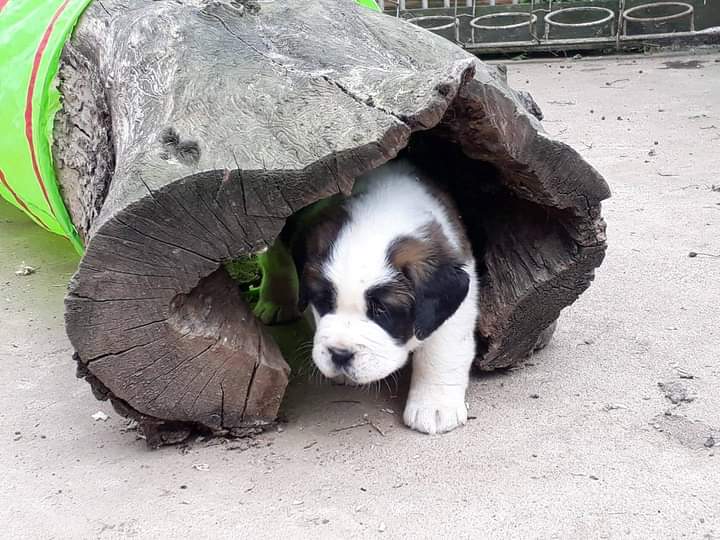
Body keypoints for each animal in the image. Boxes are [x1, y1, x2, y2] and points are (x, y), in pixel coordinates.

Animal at [255, 160, 478, 434]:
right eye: (324, 302)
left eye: (381, 311)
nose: (340, 355)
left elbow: (442, 350)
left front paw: (434, 406)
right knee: (275, 256)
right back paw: (275, 300)